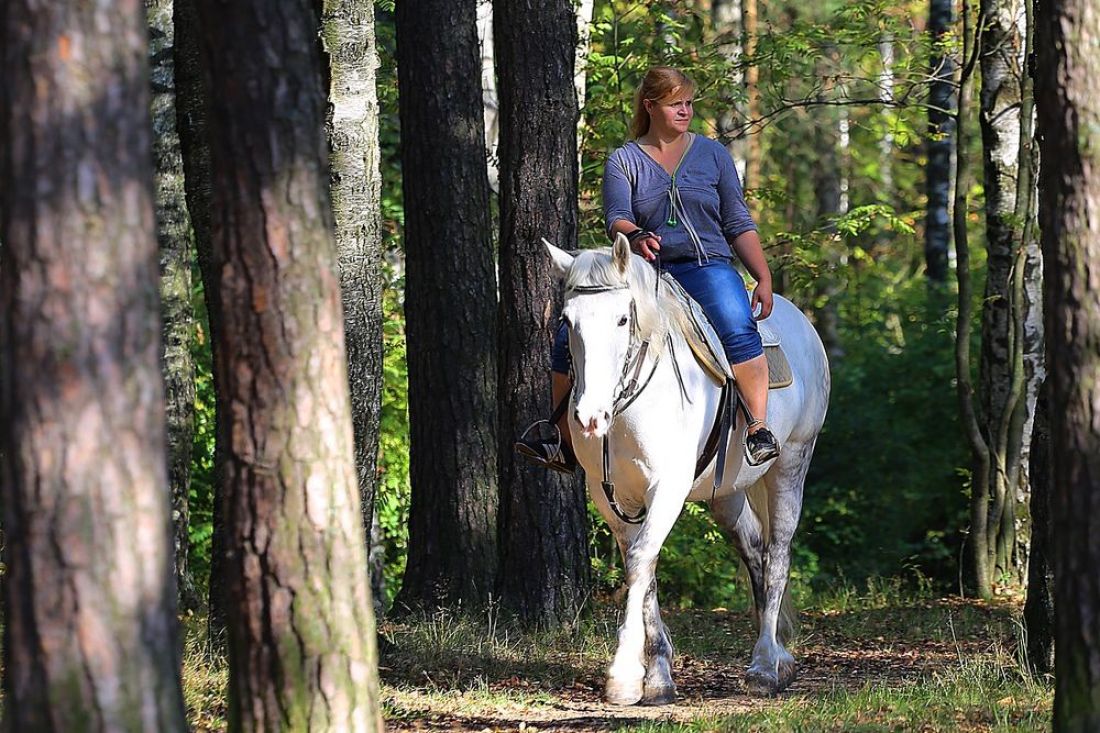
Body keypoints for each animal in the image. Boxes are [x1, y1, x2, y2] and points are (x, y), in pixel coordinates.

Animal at [545, 234, 827, 704]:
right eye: (567, 321)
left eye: (623, 319)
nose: (589, 417)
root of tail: (801, 323)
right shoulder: (609, 496)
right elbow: (643, 569)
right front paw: (657, 675)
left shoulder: (667, 488)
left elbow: (642, 559)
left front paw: (624, 676)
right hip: (728, 492)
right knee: (754, 548)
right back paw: (780, 659)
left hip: (792, 463)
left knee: (778, 555)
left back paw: (765, 666)